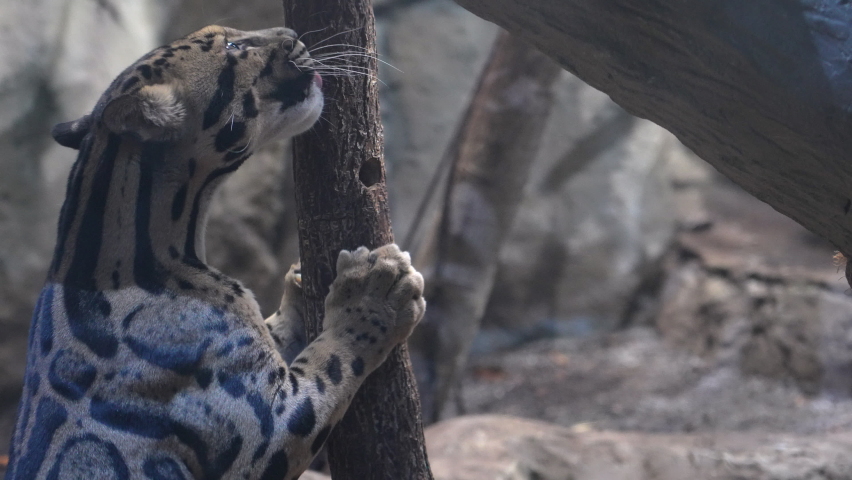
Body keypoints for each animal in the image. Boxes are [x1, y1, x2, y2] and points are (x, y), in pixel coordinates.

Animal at [4, 25, 425, 480]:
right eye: (232, 47)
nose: (291, 32)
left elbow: (275, 329)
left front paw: (299, 283)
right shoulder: (261, 431)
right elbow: (331, 359)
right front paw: (373, 292)